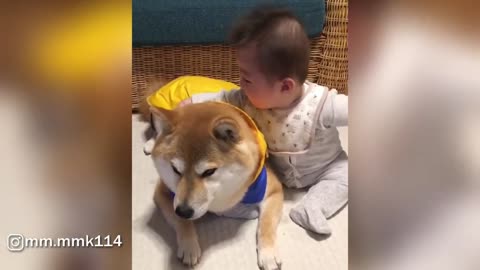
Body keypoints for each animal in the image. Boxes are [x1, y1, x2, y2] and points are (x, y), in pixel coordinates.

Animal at [150, 102, 284, 270]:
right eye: (175, 169)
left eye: (209, 171)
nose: (184, 211)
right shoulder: (163, 192)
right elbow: (181, 222)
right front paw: (189, 246)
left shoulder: (273, 190)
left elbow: (266, 225)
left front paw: (268, 253)